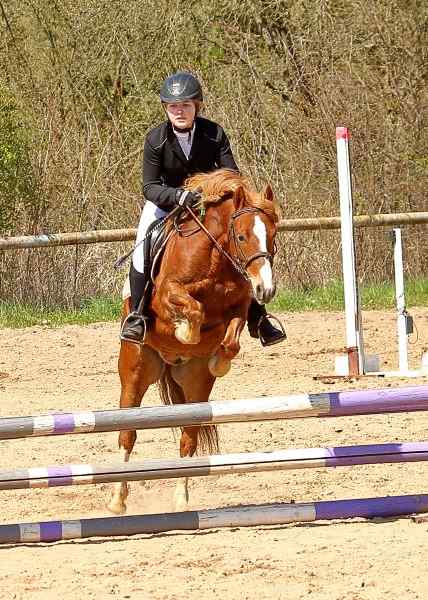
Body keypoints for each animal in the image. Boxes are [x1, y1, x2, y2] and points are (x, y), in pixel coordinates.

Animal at [108, 170, 280, 516]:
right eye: (242, 237)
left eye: (272, 234)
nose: (266, 290)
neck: (214, 259)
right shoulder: (166, 294)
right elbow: (192, 308)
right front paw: (186, 333)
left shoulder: (241, 305)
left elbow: (232, 335)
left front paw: (219, 359)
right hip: (135, 371)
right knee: (127, 434)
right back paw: (118, 499)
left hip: (195, 387)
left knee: (188, 438)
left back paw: (181, 499)